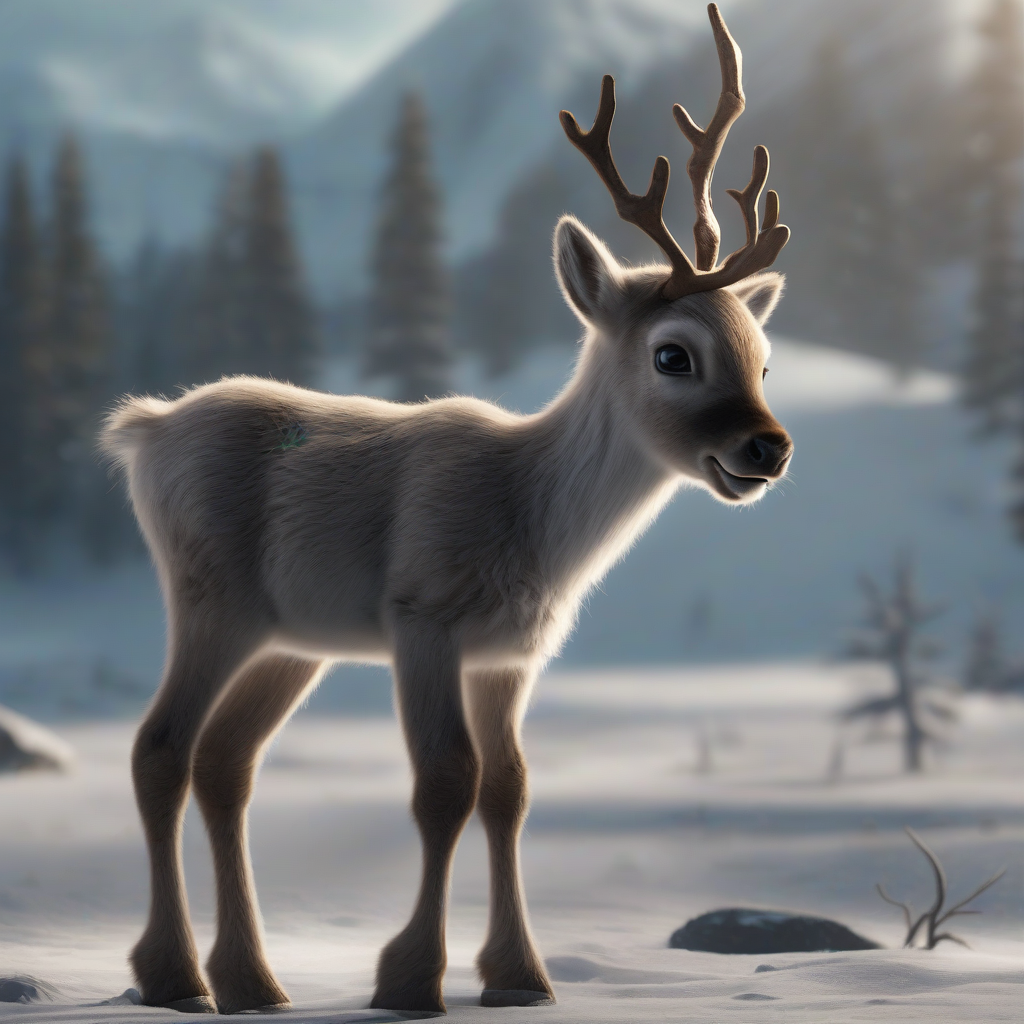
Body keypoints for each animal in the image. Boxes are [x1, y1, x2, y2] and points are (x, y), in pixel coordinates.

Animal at [101, 4, 792, 1016]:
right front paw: (410, 977)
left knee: (225, 763)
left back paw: (252, 979)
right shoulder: (424, 615)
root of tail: (142, 429)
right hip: (208, 595)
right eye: (674, 353)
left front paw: (519, 976)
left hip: (291, 639)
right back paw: (174, 975)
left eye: (762, 356)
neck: (534, 520)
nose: (767, 448)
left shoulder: (510, 656)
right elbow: (444, 785)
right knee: (159, 747)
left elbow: (509, 790)